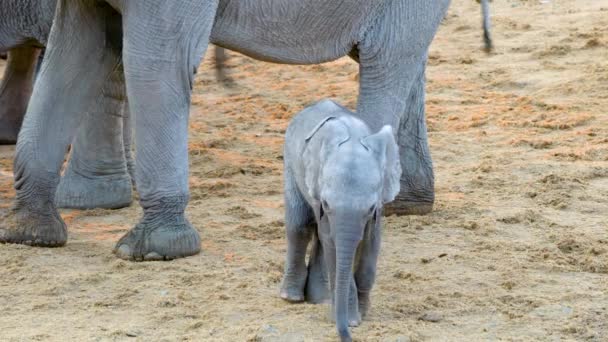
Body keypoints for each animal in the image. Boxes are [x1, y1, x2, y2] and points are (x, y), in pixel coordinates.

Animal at [282, 99, 404, 342]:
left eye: (370, 208)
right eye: (327, 204)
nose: (346, 336)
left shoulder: (378, 205)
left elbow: (370, 243)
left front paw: (362, 313)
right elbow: (331, 243)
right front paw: (352, 320)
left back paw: (321, 298)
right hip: (291, 161)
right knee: (300, 226)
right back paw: (291, 297)